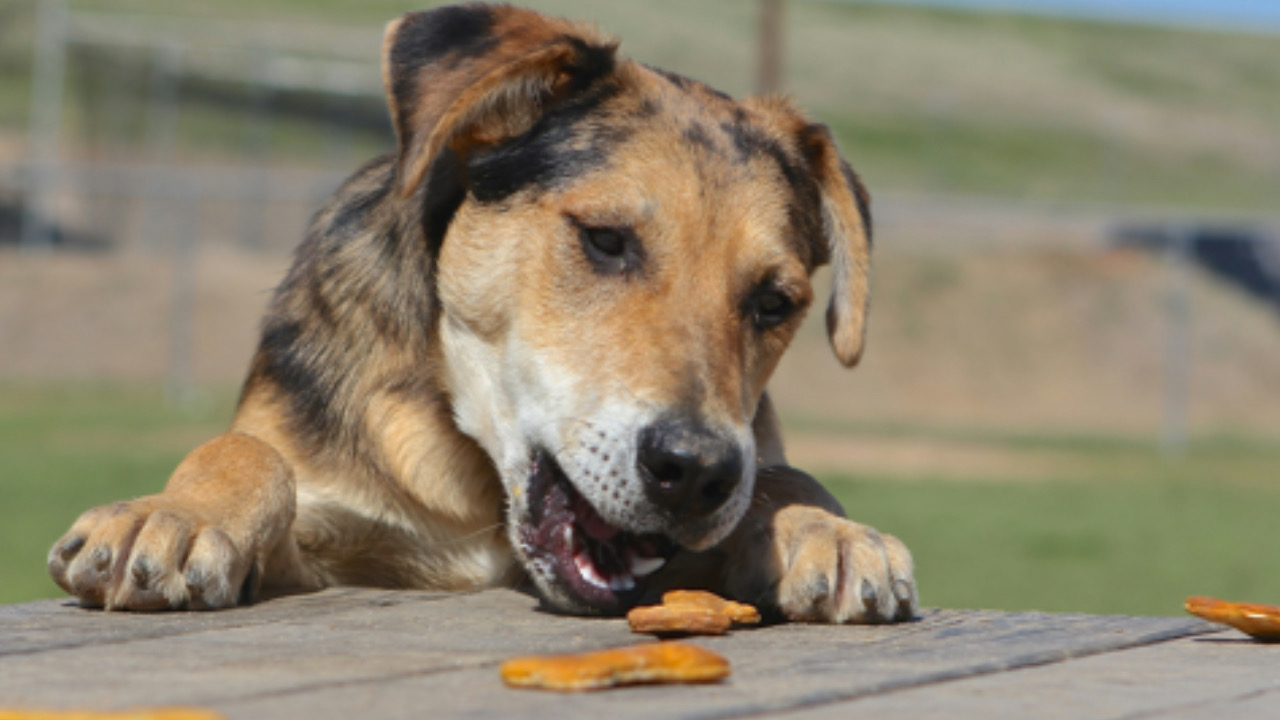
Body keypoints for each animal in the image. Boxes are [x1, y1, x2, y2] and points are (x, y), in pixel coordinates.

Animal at [45, 4, 916, 622]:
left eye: (775, 302)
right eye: (605, 240)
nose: (698, 471)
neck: (479, 486)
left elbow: (780, 472)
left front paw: (828, 529)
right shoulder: (328, 551)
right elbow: (246, 451)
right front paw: (174, 515)